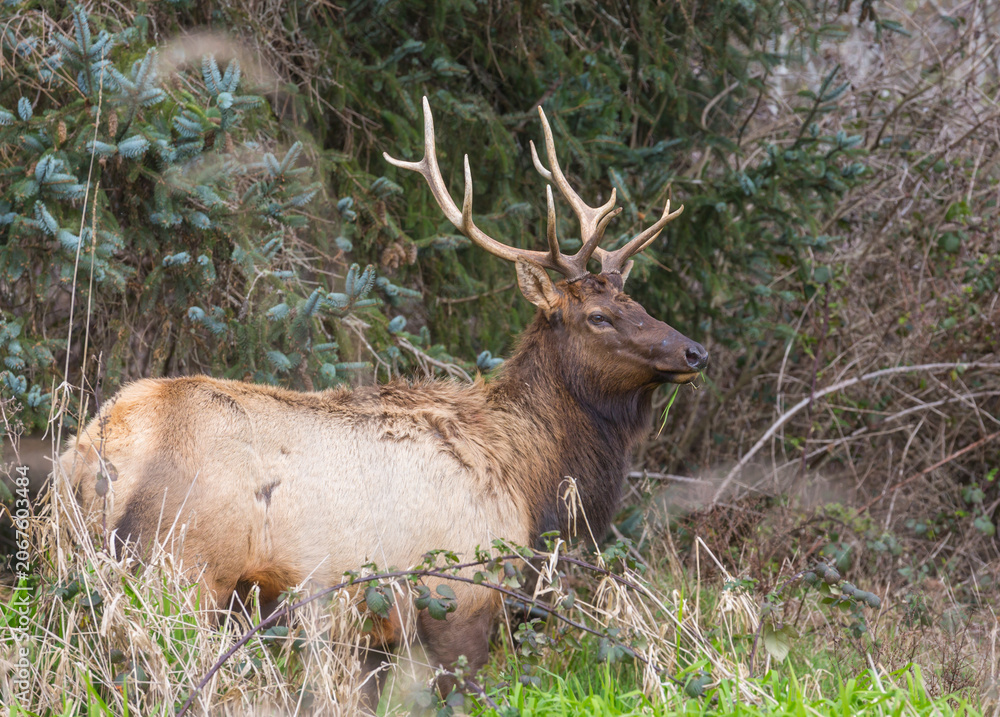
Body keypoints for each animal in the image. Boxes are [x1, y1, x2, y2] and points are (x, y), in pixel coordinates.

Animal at [57, 97, 707, 711]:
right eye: (599, 316)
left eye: (638, 302)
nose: (694, 350)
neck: (530, 477)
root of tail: (95, 448)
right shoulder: (460, 595)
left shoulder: (372, 630)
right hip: (180, 572)